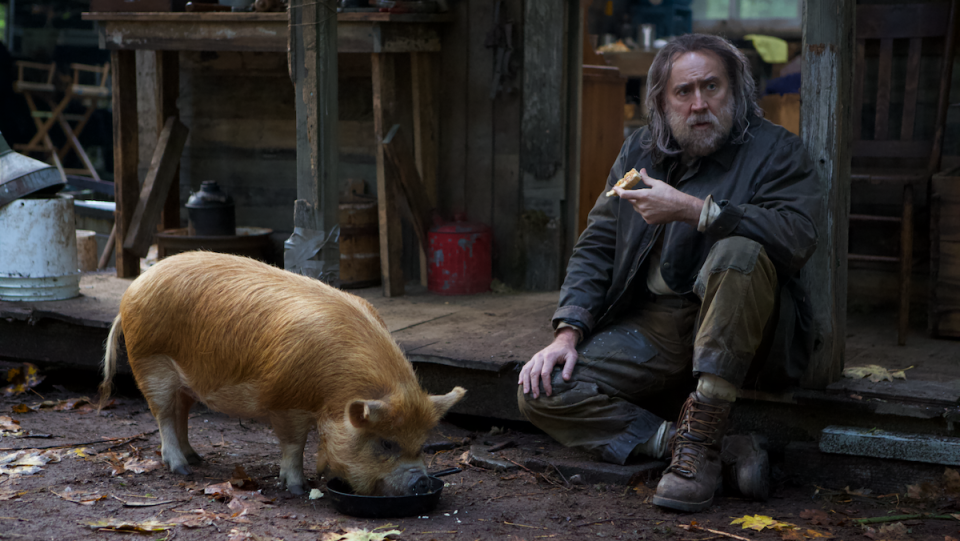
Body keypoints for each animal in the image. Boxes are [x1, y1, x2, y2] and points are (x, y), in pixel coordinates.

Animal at [99, 251, 466, 496]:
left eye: (422, 444)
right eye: (387, 443)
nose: (422, 481)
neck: (333, 392)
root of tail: (132, 290)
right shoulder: (286, 401)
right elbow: (294, 443)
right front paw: (297, 488)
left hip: (185, 380)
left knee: (181, 412)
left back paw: (197, 458)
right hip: (150, 362)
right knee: (162, 414)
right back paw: (182, 468)